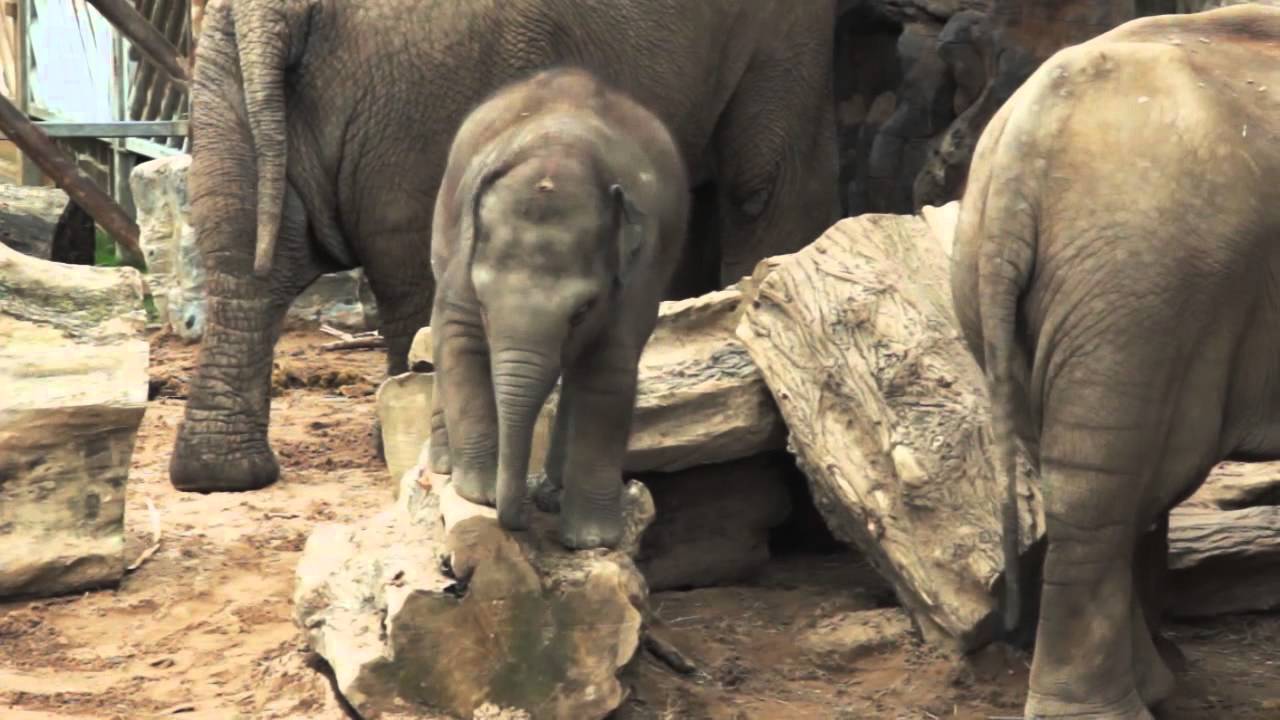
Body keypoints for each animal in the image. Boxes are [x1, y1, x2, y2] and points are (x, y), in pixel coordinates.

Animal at [169, 0, 839, 493]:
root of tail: (268, 12)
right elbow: (765, 183)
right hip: (425, 91)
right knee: (421, 271)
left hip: (227, 83)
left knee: (241, 256)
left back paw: (221, 475)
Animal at [429, 67, 689, 549]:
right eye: (485, 303)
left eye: (581, 311)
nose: (516, 518)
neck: (558, 154)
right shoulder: (462, 253)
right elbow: (456, 335)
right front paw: (476, 491)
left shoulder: (634, 280)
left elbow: (608, 374)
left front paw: (590, 539)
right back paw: (444, 464)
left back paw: (554, 490)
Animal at [951, 5, 1280, 719]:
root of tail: (1027, 136)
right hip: (1140, 283)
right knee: (1105, 483)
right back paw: (1109, 707)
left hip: (1012, 282)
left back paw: (1151, 685)